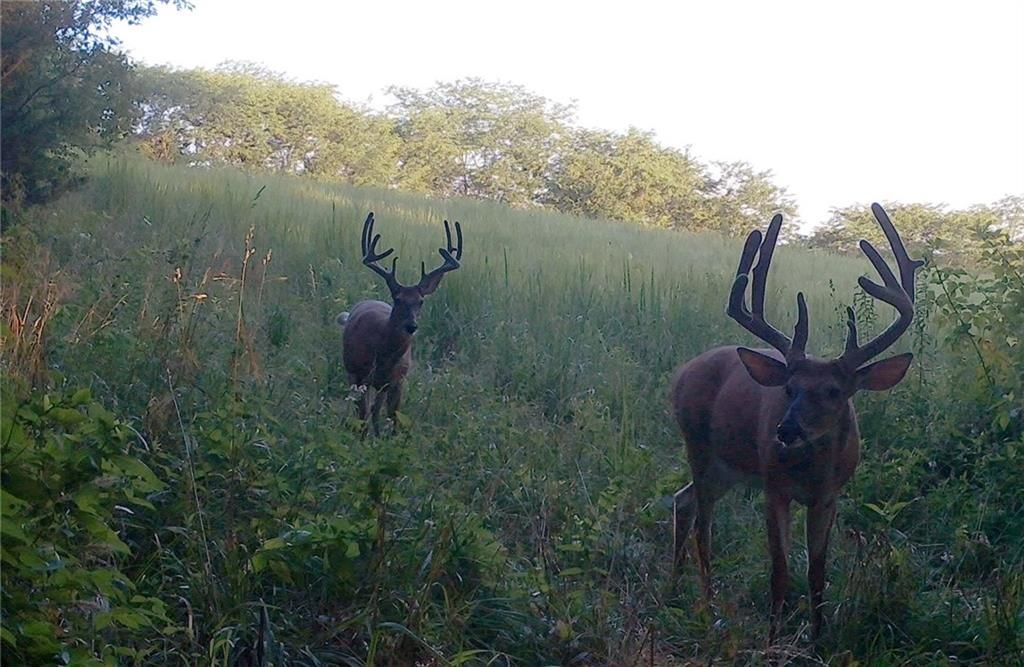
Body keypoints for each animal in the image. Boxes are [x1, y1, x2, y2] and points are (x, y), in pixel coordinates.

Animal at [338, 212, 464, 435]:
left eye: (420, 301)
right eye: (397, 299)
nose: (411, 326)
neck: (383, 354)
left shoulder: (398, 381)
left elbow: (394, 417)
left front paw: (388, 439)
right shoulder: (361, 375)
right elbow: (362, 416)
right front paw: (362, 438)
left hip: (381, 385)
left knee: (376, 410)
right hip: (354, 373)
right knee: (363, 408)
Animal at [670, 203, 923, 644]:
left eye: (835, 392)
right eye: (789, 388)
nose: (785, 431)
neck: (811, 472)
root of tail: (683, 372)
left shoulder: (829, 497)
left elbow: (817, 572)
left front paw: (818, 641)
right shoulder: (775, 489)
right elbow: (780, 570)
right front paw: (773, 641)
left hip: (729, 468)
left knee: (681, 502)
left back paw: (672, 590)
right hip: (698, 445)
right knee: (703, 525)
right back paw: (707, 605)